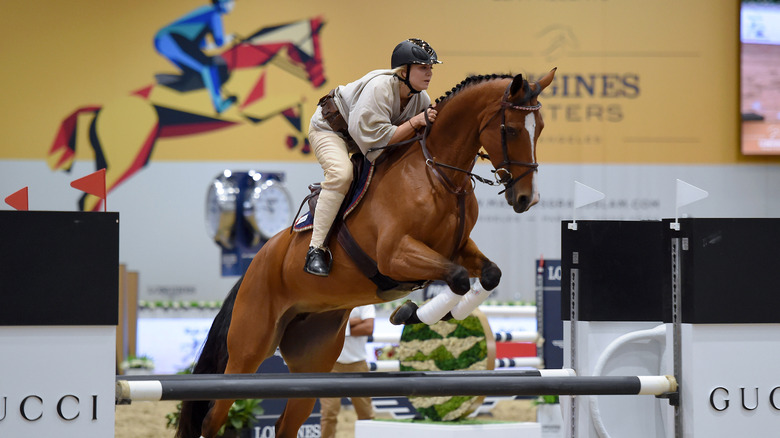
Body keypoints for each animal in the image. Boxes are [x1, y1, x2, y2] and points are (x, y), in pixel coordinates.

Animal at [45, 18, 326, 213]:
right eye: (312, 47)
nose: (320, 79)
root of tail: (100, 110)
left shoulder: (261, 108)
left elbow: (293, 110)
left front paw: (299, 141)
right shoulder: (253, 111)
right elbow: (296, 102)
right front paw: (301, 139)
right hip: (130, 158)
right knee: (90, 198)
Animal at [176, 66, 556, 436]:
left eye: (540, 129)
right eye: (510, 129)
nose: (527, 198)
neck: (439, 175)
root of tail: (252, 267)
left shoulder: (458, 248)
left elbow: (487, 275)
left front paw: (427, 314)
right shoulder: (395, 255)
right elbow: (459, 278)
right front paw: (411, 313)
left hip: (313, 358)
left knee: (286, 423)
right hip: (248, 349)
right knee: (212, 418)